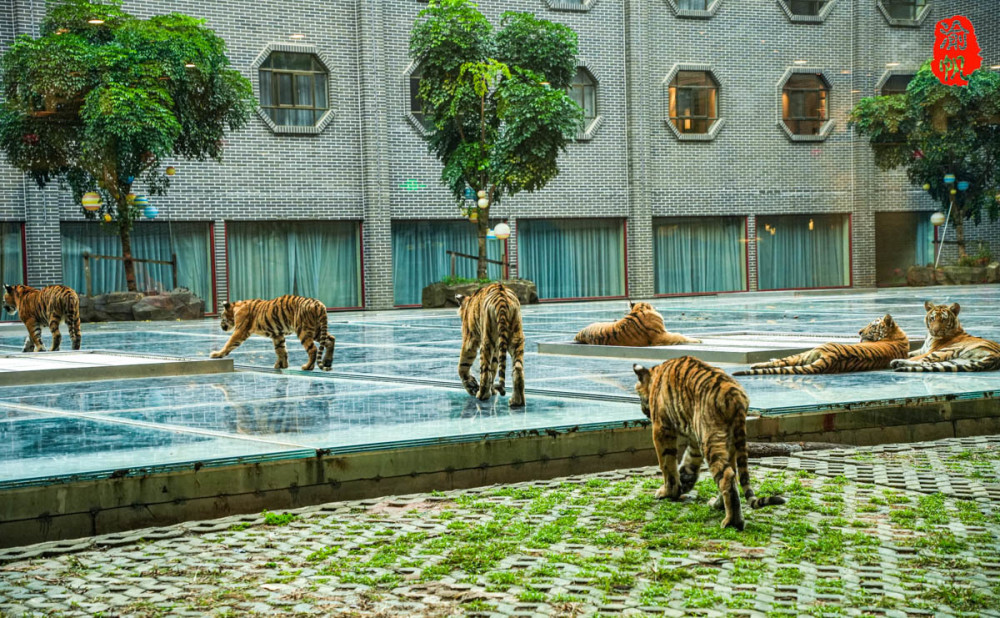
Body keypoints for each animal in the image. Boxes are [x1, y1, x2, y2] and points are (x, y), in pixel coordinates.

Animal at [632, 356, 788, 528]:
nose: (643, 411)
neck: (656, 374)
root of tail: (736, 396)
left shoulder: (662, 428)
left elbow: (667, 465)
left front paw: (668, 492)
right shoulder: (695, 438)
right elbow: (688, 463)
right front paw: (683, 485)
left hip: (710, 441)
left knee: (727, 476)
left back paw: (732, 521)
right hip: (725, 442)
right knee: (732, 474)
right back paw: (718, 505)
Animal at [732, 312, 912, 376]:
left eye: (871, 325)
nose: (859, 332)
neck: (897, 335)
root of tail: (830, 357)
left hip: (806, 353)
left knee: (781, 362)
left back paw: (757, 364)